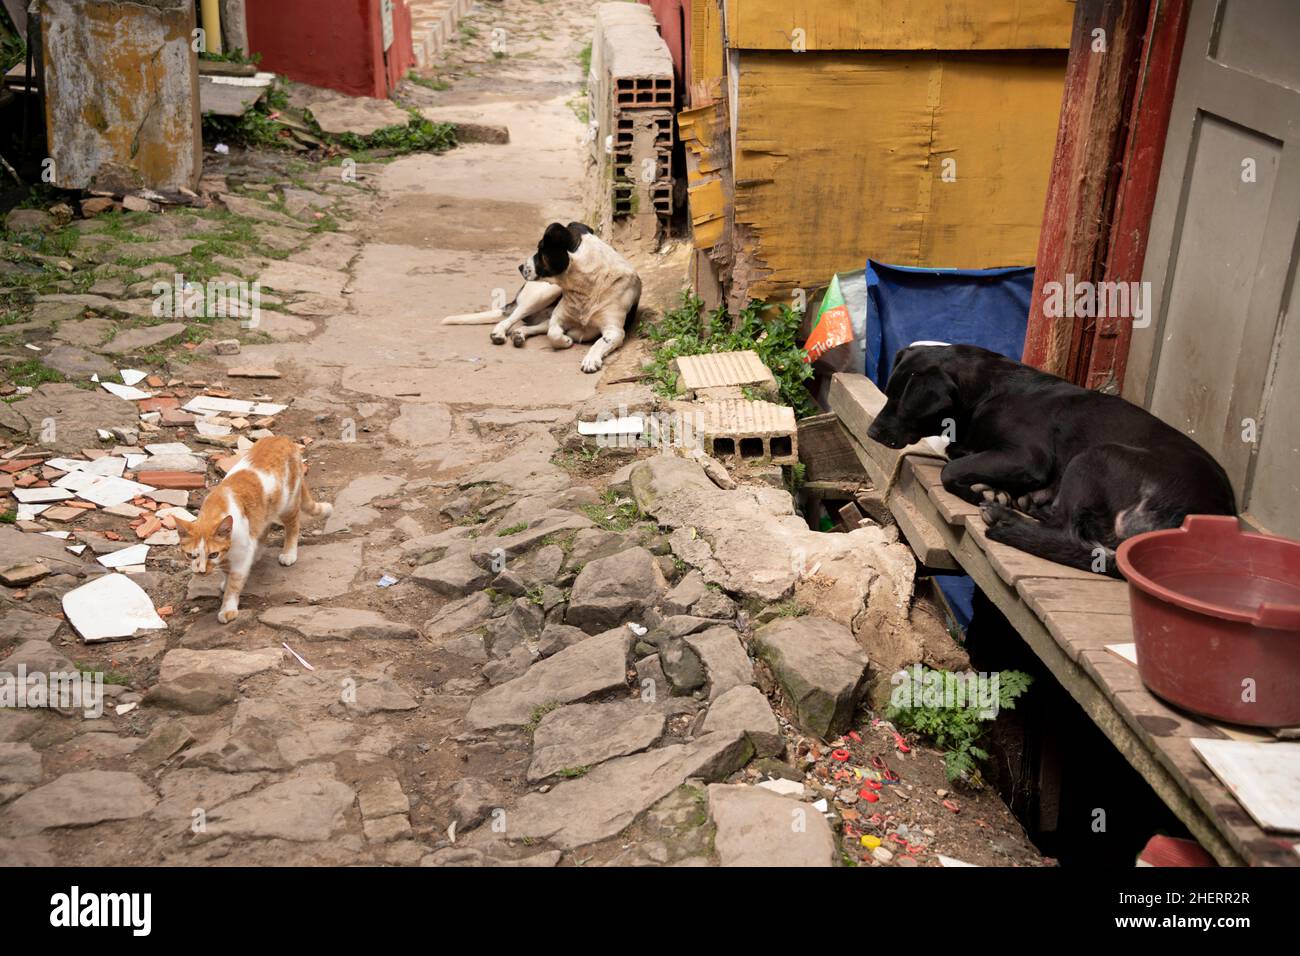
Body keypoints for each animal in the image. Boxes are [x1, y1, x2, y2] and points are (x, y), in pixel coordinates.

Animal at [175, 437, 332, 624]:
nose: (201, 571)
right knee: (263, 530)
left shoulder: (240, 556)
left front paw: (228, 608)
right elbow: (227, 572)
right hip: (265, 513)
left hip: (287, 505)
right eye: (191, 555)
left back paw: (289, 553)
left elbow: (234, 583)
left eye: (213, 554)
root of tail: (283, 438)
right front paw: (224, 581)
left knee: (293, 526)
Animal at [439, 223, 642, 374]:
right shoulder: (558, 318)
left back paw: (519, 335)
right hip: (543, 294)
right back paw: (499, 333)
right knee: (511, 318)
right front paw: (565, 341)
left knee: (530, 325)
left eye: (540, 248)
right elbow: (553, 334)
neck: (587, 284)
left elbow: (600, 343)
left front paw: (591, 358)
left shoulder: (615, 330)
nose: (520, 267)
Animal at [868, 348, 1232, 580]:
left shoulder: (1029, 456)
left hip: (1096, 456)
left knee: (1068, 530)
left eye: (901, 401)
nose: (871, 432)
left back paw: (1007, 517)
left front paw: (983, 493)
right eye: (888, 393)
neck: (988, 391)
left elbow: (950, 469)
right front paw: (995, 490)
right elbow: (959, 454)